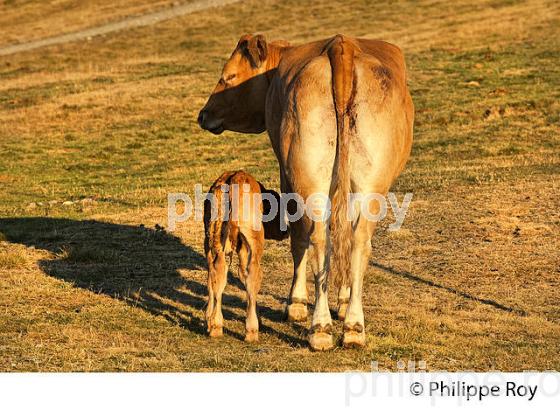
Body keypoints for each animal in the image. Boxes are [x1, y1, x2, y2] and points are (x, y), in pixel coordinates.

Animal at [202, 169, 288, 340]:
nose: (286, 230)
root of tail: (233, 179)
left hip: (214, 240)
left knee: (217, 273)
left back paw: (215, 326)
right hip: (254, 239)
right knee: (253, 273)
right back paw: (251, 330)